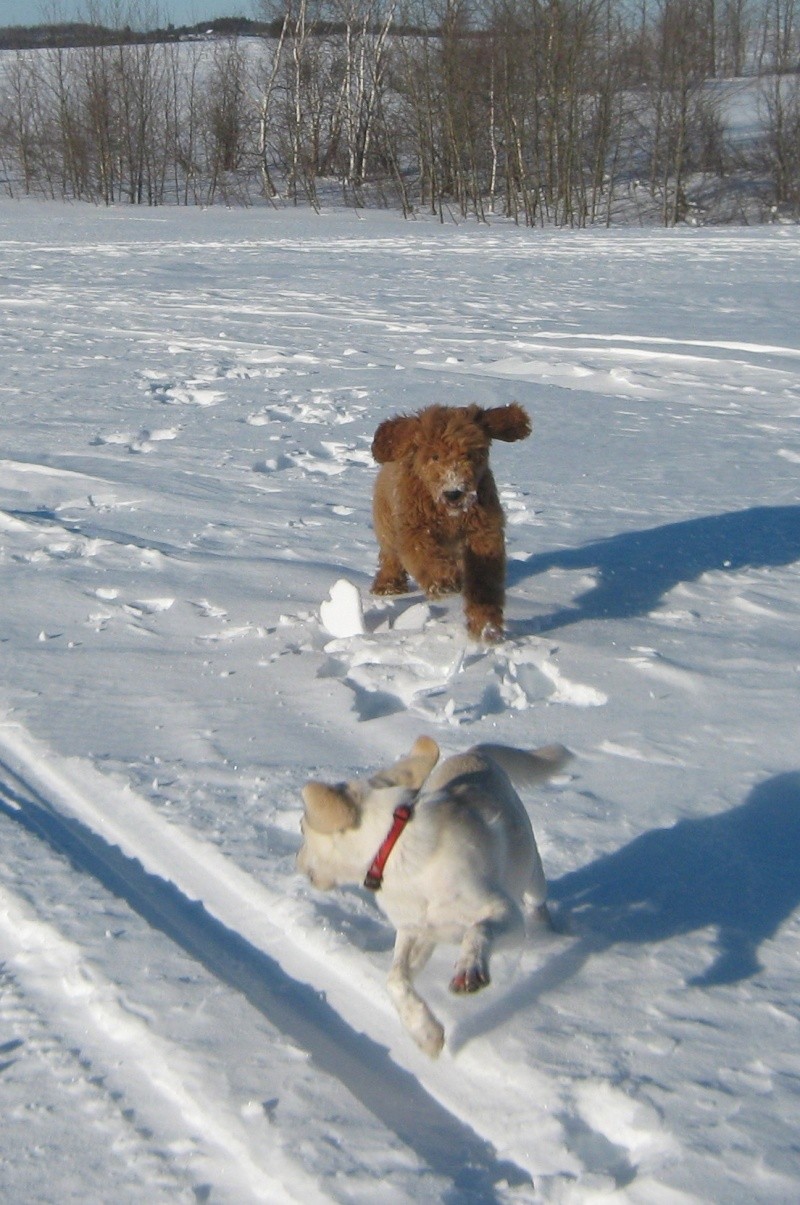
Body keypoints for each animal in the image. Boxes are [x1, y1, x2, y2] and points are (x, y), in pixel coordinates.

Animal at [298, 732, 568, 1055]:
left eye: (301, 828)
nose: (297, 863)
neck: (395, 850)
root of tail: (474, 752)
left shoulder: (506, 913)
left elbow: (478, 930)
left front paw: (469, 968)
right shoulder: (417, 931)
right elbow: (395, 979)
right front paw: (426, 1033)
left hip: (531, 872)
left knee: (537, 902)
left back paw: (549, 933)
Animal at [371, 402, 530, 641]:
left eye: (470, 454)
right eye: (435, 456)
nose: (454, 493)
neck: (450, 515)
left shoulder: (484, 533)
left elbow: (485, 580)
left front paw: (486, 626)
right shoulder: (414, 529)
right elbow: (425, 555)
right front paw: (443, 582)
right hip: (387, 522)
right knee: (390, 555)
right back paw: (388, 586)